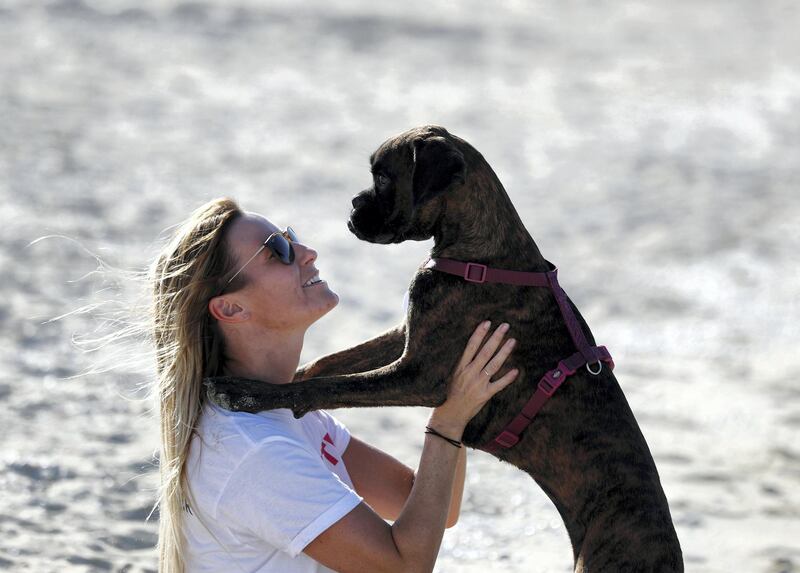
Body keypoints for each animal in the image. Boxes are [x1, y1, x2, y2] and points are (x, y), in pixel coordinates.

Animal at [206, 126, 680, 572]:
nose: (354, 205)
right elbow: (330, 364)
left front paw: (249, 393)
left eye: (384, 176)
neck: (482, 255)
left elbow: (334, 386)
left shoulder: (420, 374)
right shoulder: (411, 335)